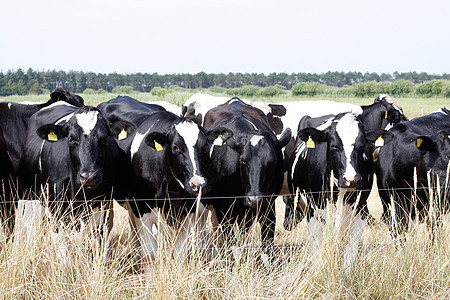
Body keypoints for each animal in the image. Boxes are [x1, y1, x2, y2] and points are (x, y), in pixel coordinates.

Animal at [288, 112, 390, 270]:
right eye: (334, 147)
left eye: (362, 146)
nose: (352, 179)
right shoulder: (313, 213)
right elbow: (317, 251)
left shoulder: (360, 211)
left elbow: (350, 255)